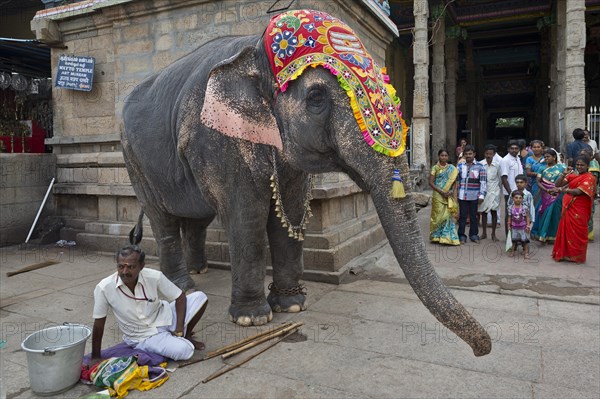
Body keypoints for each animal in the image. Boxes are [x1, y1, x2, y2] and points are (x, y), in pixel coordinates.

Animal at [123, 9, 492, 356]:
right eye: (316, 97)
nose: (482, 350)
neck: (253, 48)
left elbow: (289, 213)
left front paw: (291, 306)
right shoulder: (218, 139)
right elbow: (247, 217)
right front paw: (252, 318)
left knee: (196, 218)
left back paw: (199, 273)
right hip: (134, 159)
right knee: (163, 219)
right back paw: (182, 287)